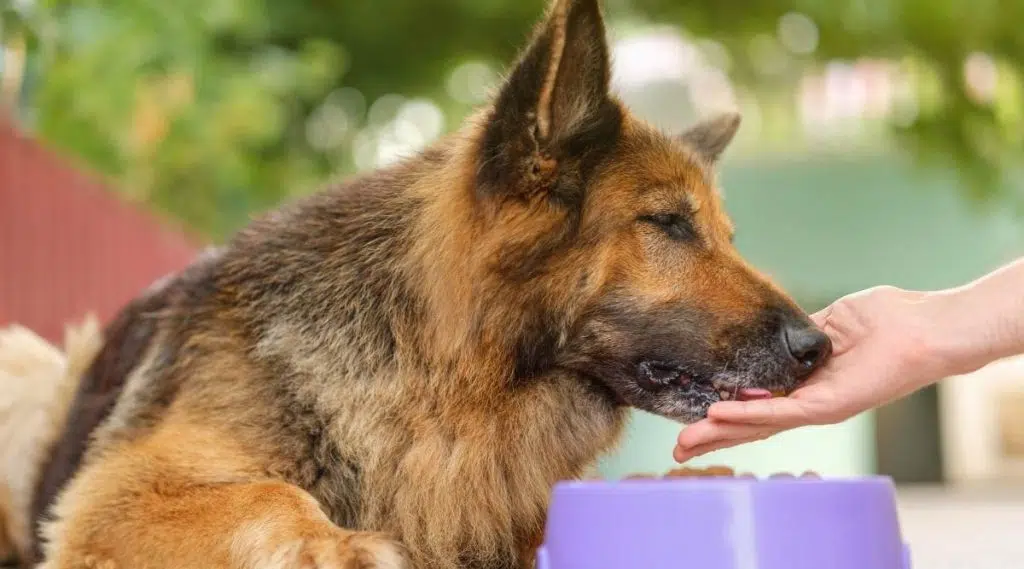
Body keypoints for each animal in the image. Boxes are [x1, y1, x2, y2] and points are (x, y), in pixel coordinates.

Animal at [2, 2, 831, 564]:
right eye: (668, 223)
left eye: (723, 235)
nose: (817, 346)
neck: (439, 377)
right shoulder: (114, 499)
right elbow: (270, 491)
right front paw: (338, 544)